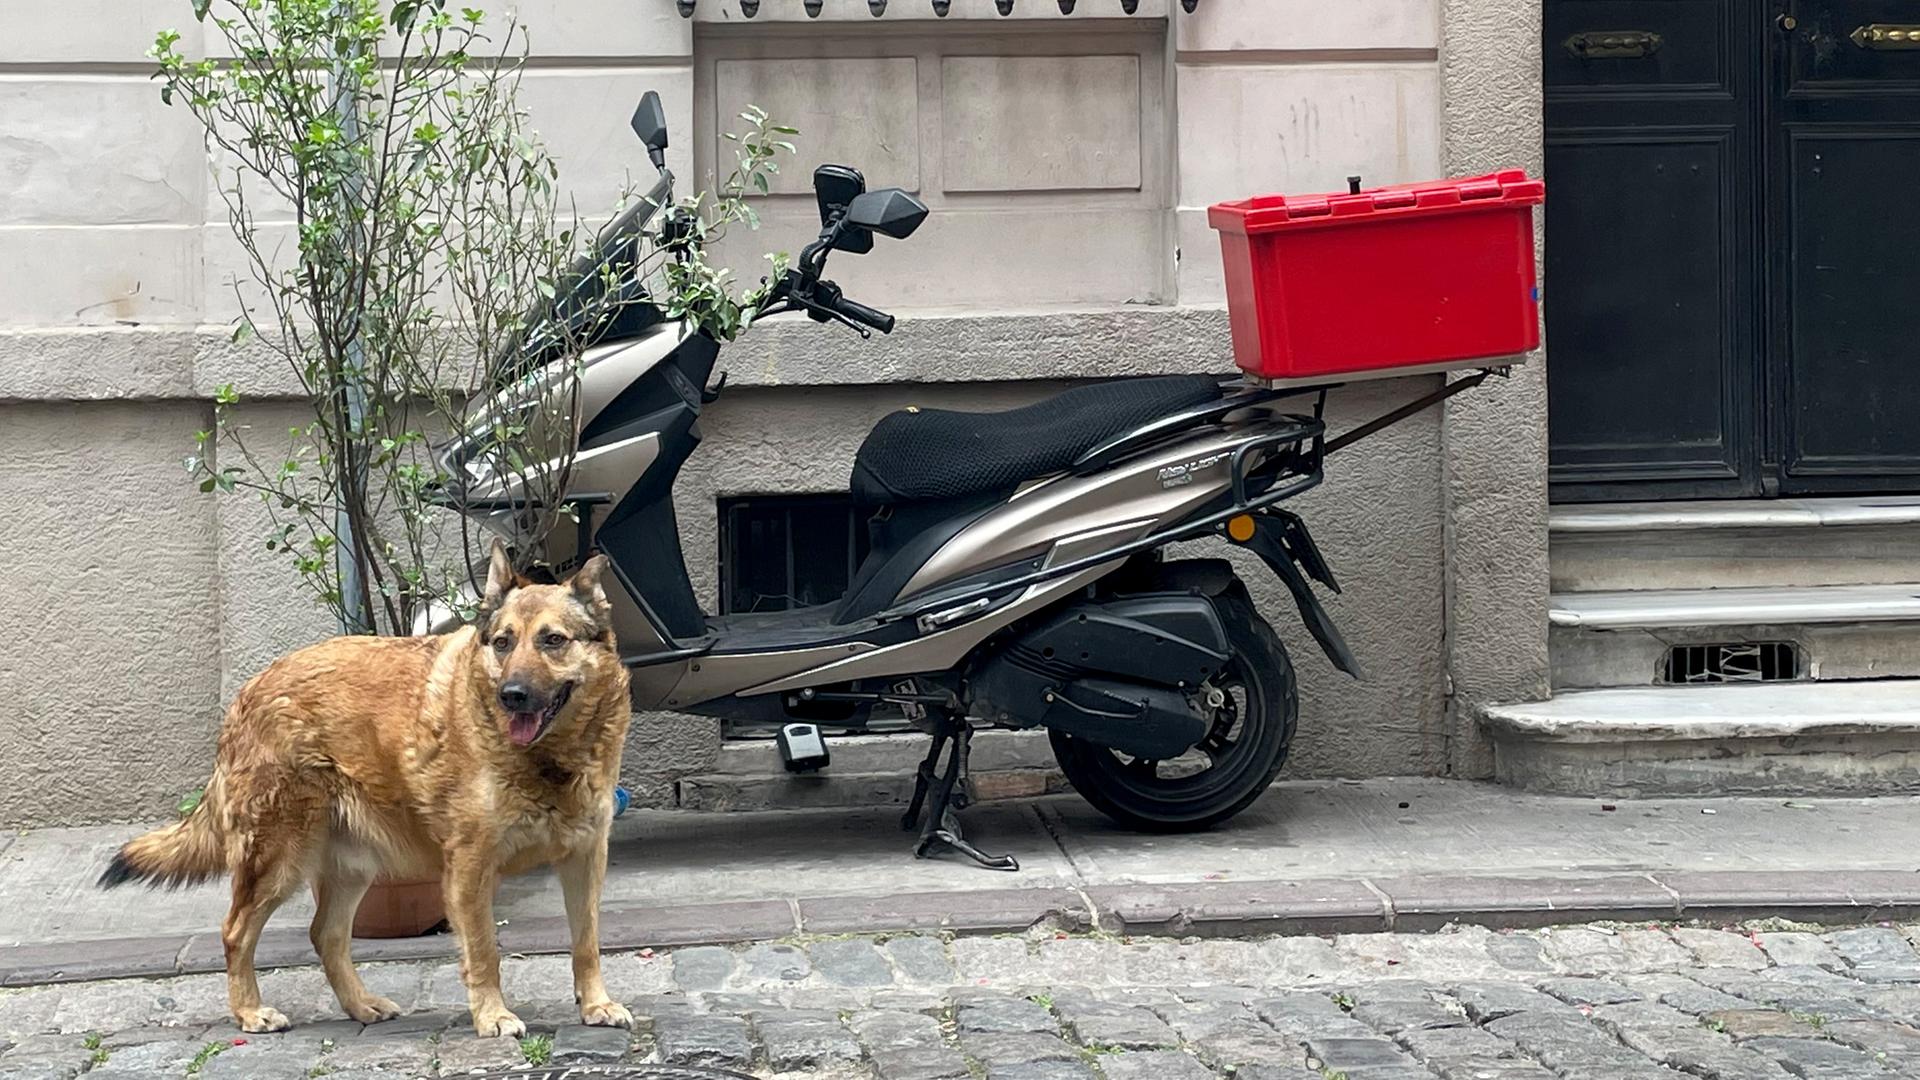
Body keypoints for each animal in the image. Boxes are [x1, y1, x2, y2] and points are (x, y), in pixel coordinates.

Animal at [99, 541, 629, 1037]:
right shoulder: (470, 867)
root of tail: (247, 693)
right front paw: (493, 1015)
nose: (511, 695)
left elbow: (587, 942)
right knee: (236, 932)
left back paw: (360, 1005)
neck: (549, 760)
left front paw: (595, 1004)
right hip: (277, 861)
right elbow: (484, 952)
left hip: (351, 868)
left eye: (553, 640)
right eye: (503, 643)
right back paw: (250, 1012)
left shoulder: (586, 859)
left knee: (325, 936)